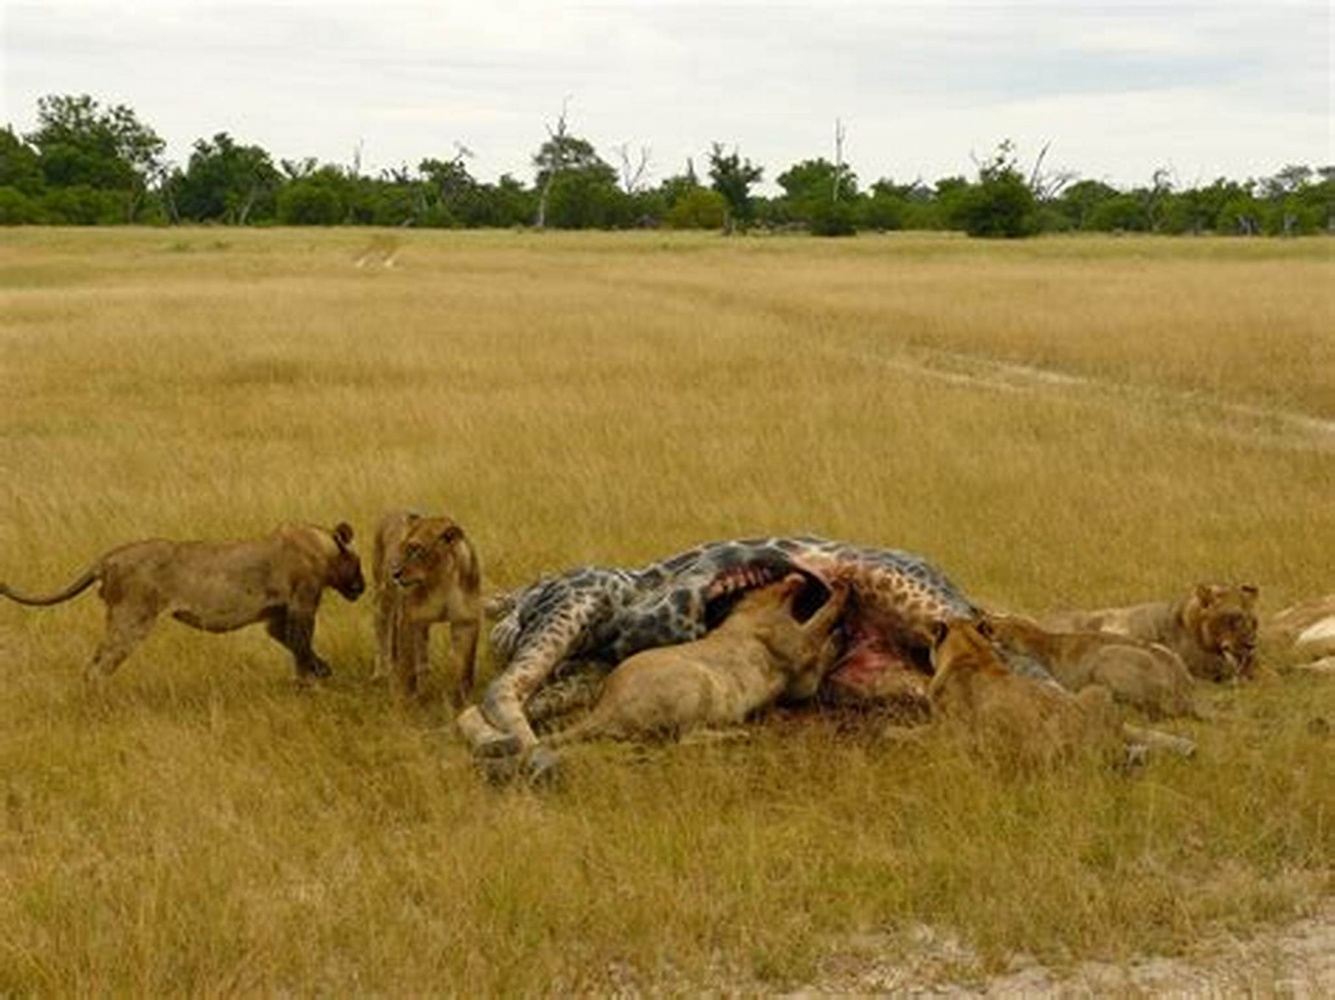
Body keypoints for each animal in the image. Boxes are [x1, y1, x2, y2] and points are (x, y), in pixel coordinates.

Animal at [0, 523, 365, 678]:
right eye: (359, 562)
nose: (362, 587)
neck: (321, 548)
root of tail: (108, 559)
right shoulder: (302, 604)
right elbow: (302, 647)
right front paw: (318, 676)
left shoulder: (275, 617)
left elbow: (295, 646)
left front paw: (314, 674)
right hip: (132, 618)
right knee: (98, 667)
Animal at [373, 510, 483, 704]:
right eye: (402, 548)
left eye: (416, 549)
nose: (395, 573)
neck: (442, 581)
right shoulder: (410, 619)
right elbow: (407, 664)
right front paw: (406, 699)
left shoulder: (466, 621)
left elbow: (465, 665)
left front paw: (462, 700)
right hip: (384, 596)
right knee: (382, 629)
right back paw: (381, 674)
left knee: (422, 652)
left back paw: (425, 682)